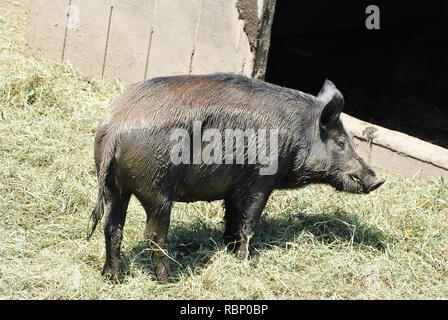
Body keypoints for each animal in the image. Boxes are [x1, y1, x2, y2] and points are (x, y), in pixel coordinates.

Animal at [87, 73, 384, 282]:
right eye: (341, 143)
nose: (377, 180)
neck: (298, 135)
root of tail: (115, 128)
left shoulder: (233, 187)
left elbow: (232, 219)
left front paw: (229, 249)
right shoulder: (262, 180)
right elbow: (249, 222)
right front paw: (246, 261)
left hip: (114, 186)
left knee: (112, 227)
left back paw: (112, 278)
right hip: (157, 189)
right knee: (152, 235)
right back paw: (170, 280)